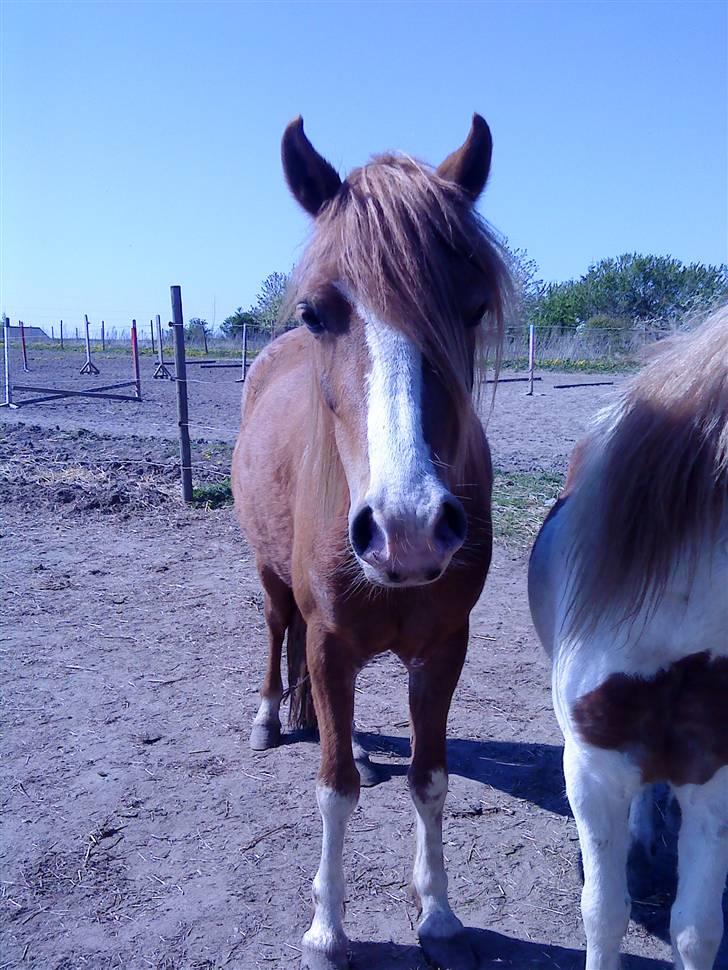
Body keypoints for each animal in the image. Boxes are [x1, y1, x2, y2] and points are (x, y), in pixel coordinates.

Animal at [230, 117, 510, 964]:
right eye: (317, 312)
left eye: (472, 306)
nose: (407, 527)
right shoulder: (328, 641)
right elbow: (333, 790)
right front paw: (327, 928)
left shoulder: (443, 648)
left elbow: (430, 779)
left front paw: (440, 915)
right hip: (271, 578)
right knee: (277, 631)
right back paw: (270, 718)